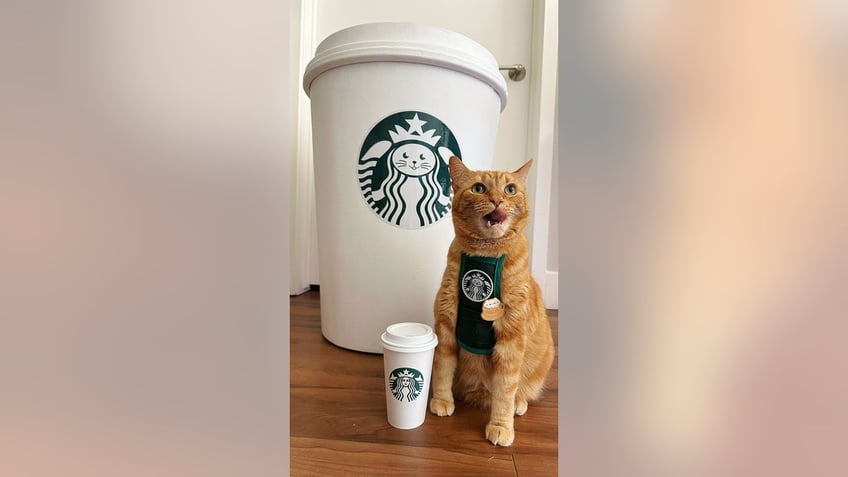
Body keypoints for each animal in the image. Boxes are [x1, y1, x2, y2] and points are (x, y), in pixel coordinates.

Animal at [428, 156, 552, 446]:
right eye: (479, 188)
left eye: (510, 189)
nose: (497, 200)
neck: (484, 255)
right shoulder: (446, 321)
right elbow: (442, 367)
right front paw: (441, 399)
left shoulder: (512, 337)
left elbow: (505, 388)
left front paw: (501, 425)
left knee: (517, 391)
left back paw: (518, 404)